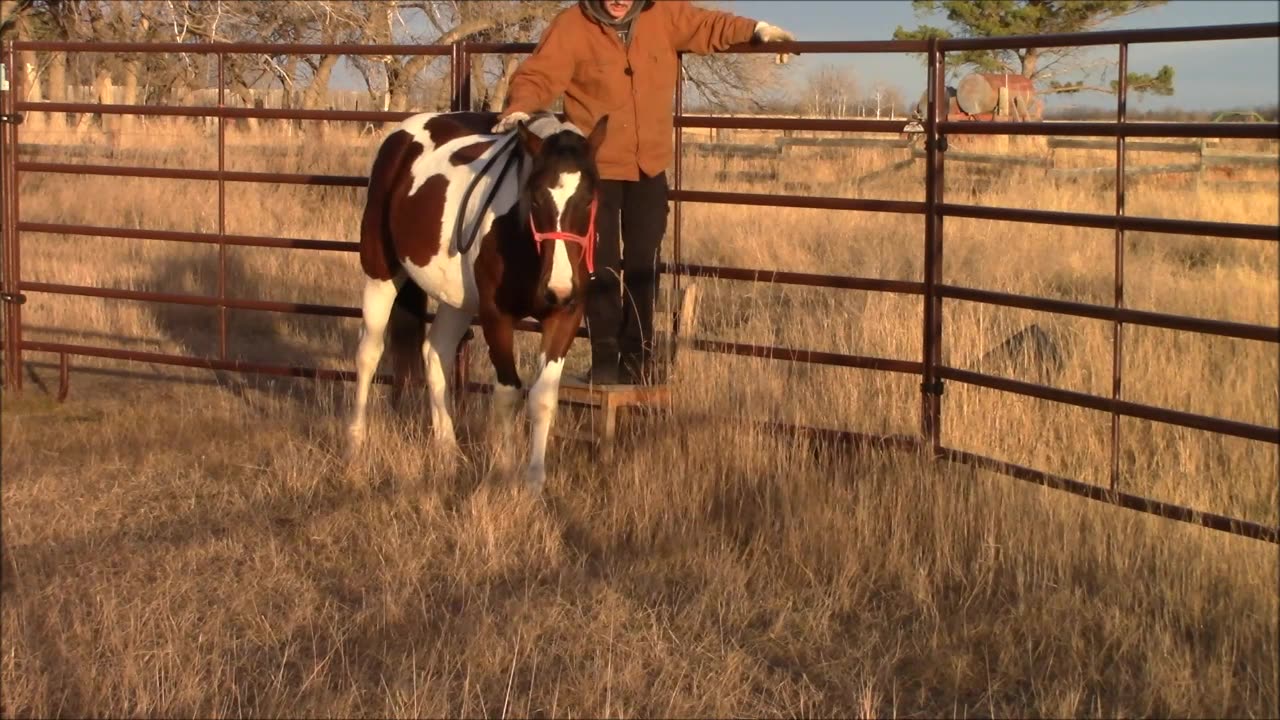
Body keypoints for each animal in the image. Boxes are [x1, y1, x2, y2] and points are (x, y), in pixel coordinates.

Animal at [350, 109, 609, 489]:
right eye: (535, 199)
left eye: (589, 199)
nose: (558, 288)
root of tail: (401, 135)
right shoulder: (496, 316)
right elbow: (508, 393)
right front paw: (504, 474)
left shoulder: (565, 317)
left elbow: (543, 397)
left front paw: (534, 483)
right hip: (380, 275)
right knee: (369, 354)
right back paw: (355, 441)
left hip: (457, 301)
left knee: (435, 354)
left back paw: (447, 451)